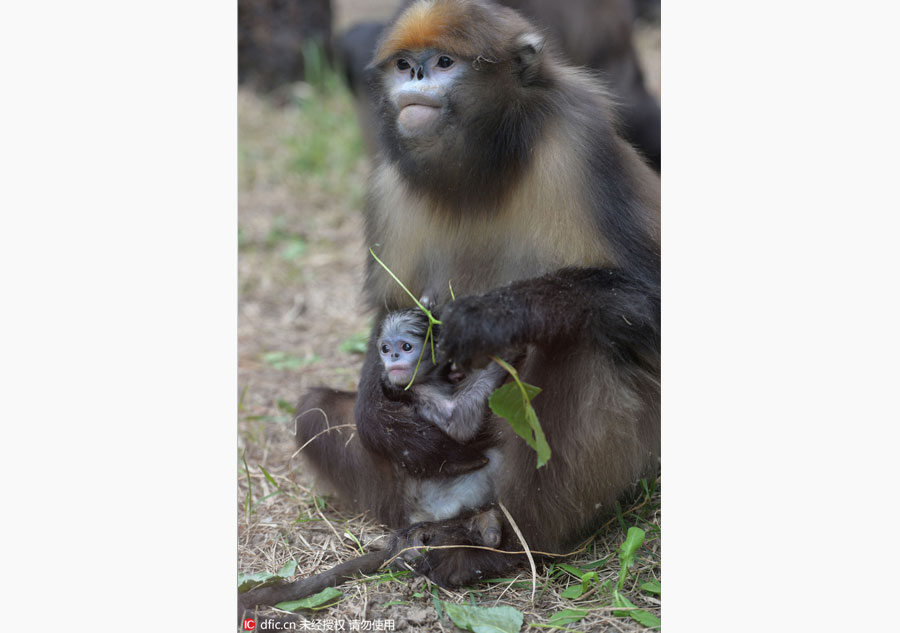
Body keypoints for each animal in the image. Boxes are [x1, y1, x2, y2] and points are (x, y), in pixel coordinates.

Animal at [296, 0, 660, 588]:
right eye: (405, 64)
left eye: (444, 62)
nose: (417, 77)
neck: (479, 173)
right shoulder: (390, 180)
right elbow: (387, 310)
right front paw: (381, 415)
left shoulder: (581, 143)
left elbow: (649, 300)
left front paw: (493, 317)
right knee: (311, 411)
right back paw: (420, 534)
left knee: (581, 342)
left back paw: (499, 550)